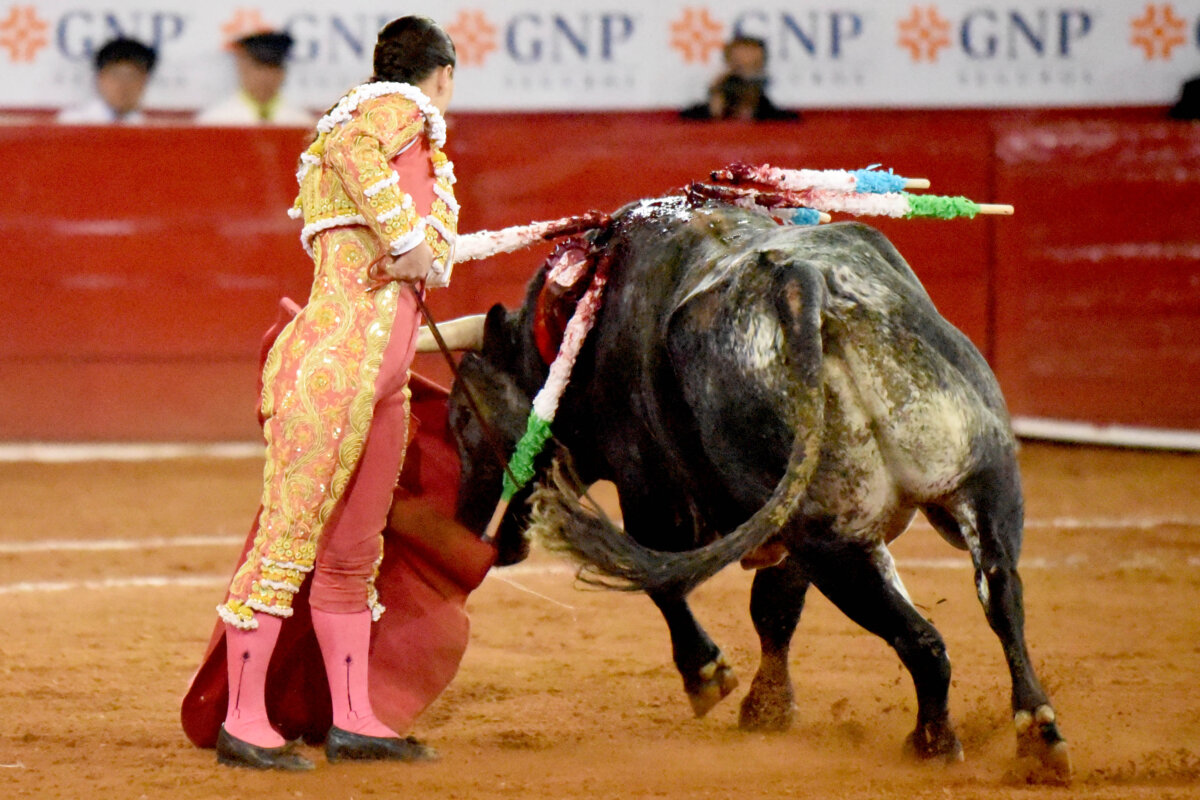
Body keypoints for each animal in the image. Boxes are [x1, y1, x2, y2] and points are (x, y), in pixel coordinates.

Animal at [439, 195, 1070, 782]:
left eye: (461, 420)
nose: (476, 536)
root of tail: (800, 282)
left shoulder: (651, 492)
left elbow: (670, 586)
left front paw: (709, 678)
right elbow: (774, 607)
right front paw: (767, 708)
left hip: (833, 543)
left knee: (922, 640)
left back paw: (935, 744)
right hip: (975, 479)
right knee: (1001, 593)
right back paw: (1038, 736)